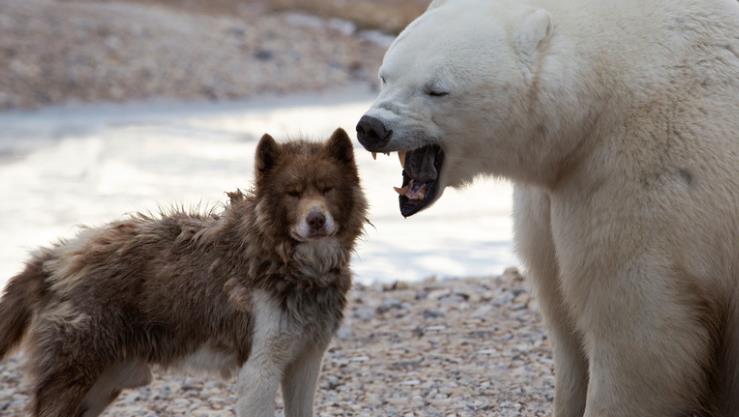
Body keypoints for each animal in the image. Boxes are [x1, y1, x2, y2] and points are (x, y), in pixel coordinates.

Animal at [0, 128, 368, 416]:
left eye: (327, 188)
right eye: (293, 193)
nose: (316, 220)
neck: (288, 264)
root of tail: (54, 256)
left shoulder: (305, 365)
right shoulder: (259, 370)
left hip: (102, 386)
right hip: (76, 379)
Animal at [356, 0, 739, 414]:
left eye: (437, 89)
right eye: (385, 75)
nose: (372, 127)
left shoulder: (647, 177)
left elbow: (637, 333)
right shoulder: (550, 197)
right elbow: (564, 322)